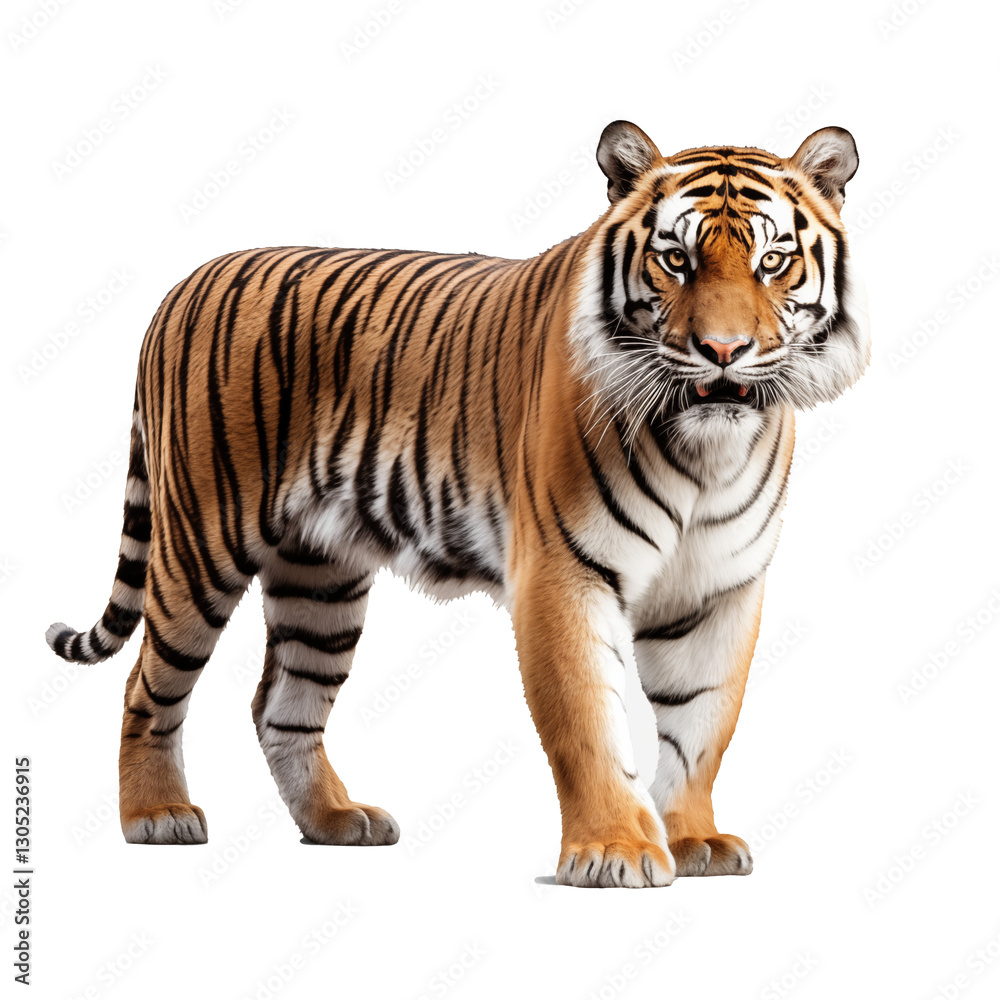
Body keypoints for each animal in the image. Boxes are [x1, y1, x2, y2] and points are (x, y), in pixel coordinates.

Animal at [46, 121, 868, 887]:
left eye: (772, 261)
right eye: (676, 260)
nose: (723, 352)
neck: (707, 452)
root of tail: (183, 284)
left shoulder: (720, 587)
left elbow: (703, 723)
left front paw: (693, 838)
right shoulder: (564, 573)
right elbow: (587, 719)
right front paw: (616, 851)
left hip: (320, 579)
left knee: (281, 704)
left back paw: (336, 821)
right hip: (202, 544)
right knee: (147, 686)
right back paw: (157, 815)